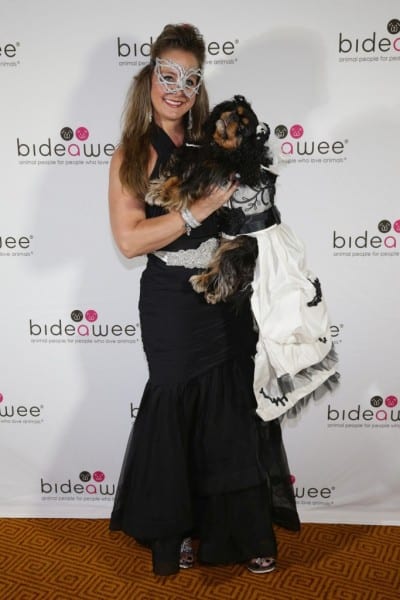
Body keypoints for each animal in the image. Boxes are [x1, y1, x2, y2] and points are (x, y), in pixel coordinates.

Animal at [145, 94, 280, 304]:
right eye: (235, 111)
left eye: (243, 129)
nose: (232, 117)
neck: (219, 149)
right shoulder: (199, 161)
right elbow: (177, 177)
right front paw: (159, 188)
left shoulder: (210, 174)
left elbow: (186, 185)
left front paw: (162, 195)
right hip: (225, 242)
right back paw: (206, 284)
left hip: (239, 246)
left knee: (227, 271)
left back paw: (207, 287)